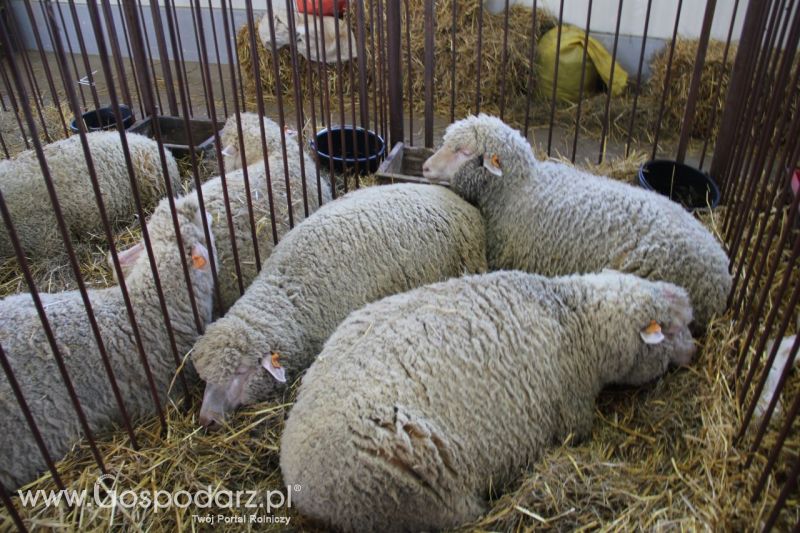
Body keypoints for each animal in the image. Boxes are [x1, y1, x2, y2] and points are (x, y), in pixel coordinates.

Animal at [280, 270, 692, 532]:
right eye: (671, 329)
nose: (696, 348)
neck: (576, 321)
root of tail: (290, 467)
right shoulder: (573, 416)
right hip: (409, 491)